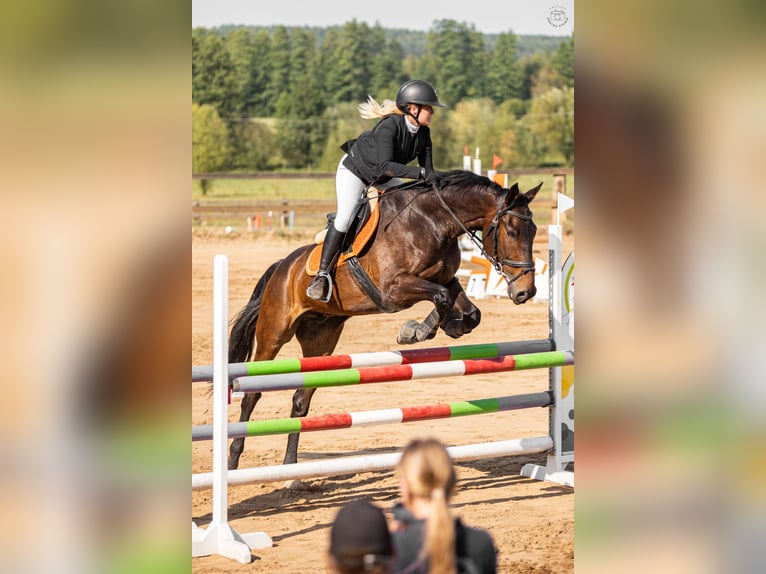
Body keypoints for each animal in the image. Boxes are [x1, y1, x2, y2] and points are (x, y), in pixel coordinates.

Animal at [227, 170, 542, 470]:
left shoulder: (445, 278)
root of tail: (282, 266)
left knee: (301, 400)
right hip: (274, 333)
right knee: (252, 393)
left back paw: (291, 469)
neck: (434, 222)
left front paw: (450, 326)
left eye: (535, 230)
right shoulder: (394, 290)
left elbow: (468, 310)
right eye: (512, 232)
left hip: (321, 341)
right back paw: (233, 460)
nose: (526, 292)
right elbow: (440, 297)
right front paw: (414, 332)